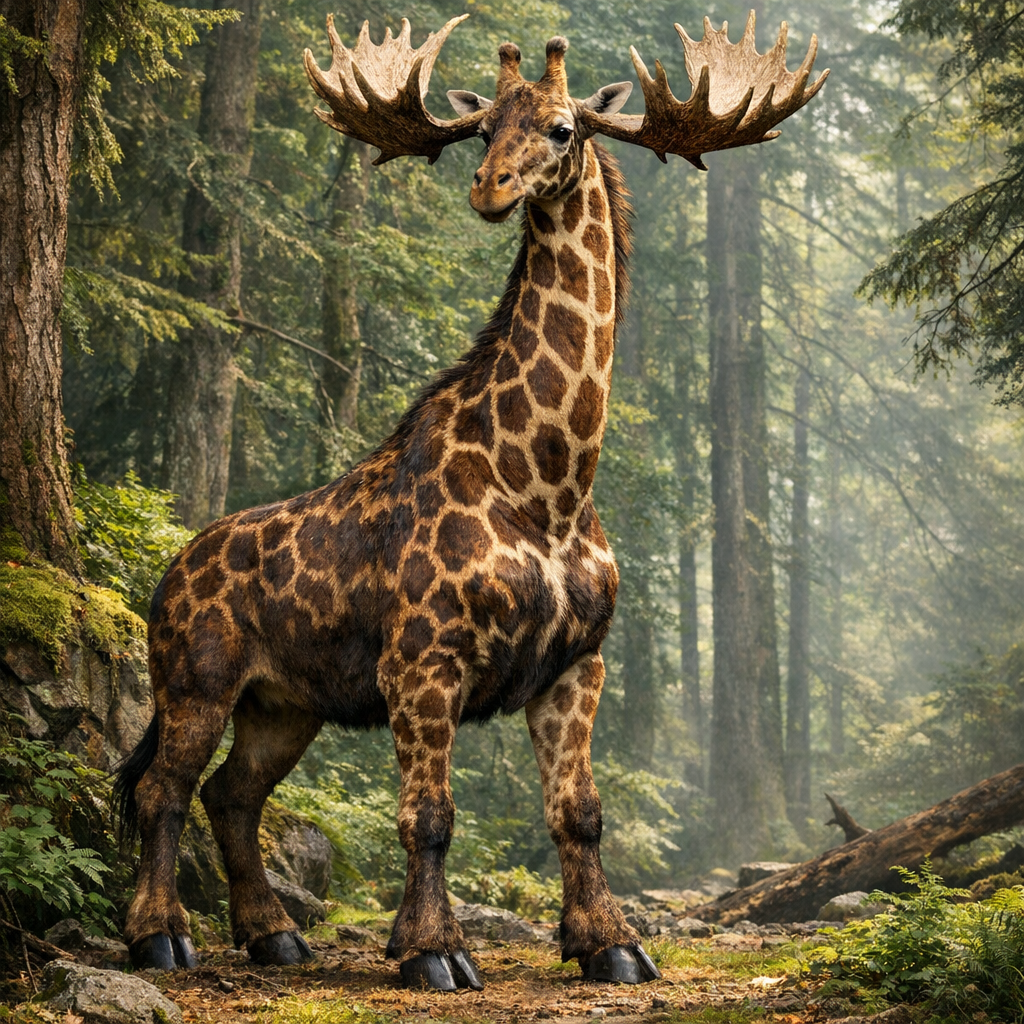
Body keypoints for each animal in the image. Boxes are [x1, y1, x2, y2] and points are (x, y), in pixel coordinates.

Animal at [115, 10, 826, 991]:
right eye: (483, 128)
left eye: (564, 127)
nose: (489, 187)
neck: (555, 484)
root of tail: (163, 579)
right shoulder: (423, 658)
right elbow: (430, 817)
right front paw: (432, 949)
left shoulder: (577, 661)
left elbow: (580, 812)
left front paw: (609, 942)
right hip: (194, 678)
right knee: (161, 787)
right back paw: (160, 935)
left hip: (283, 702)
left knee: (231, 792)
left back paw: (273, 933)